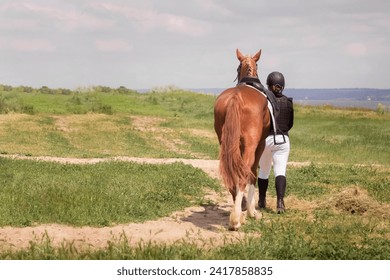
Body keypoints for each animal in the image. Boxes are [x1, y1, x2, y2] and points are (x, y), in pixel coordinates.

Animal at [213, 48, 272, 230]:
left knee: (232, 172)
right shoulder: (260, 145)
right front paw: (253, 212)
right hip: (251, 145)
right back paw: (236, 219)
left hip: (225, 143)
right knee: (244, 173)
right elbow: (253, 173)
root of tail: (236, 97)